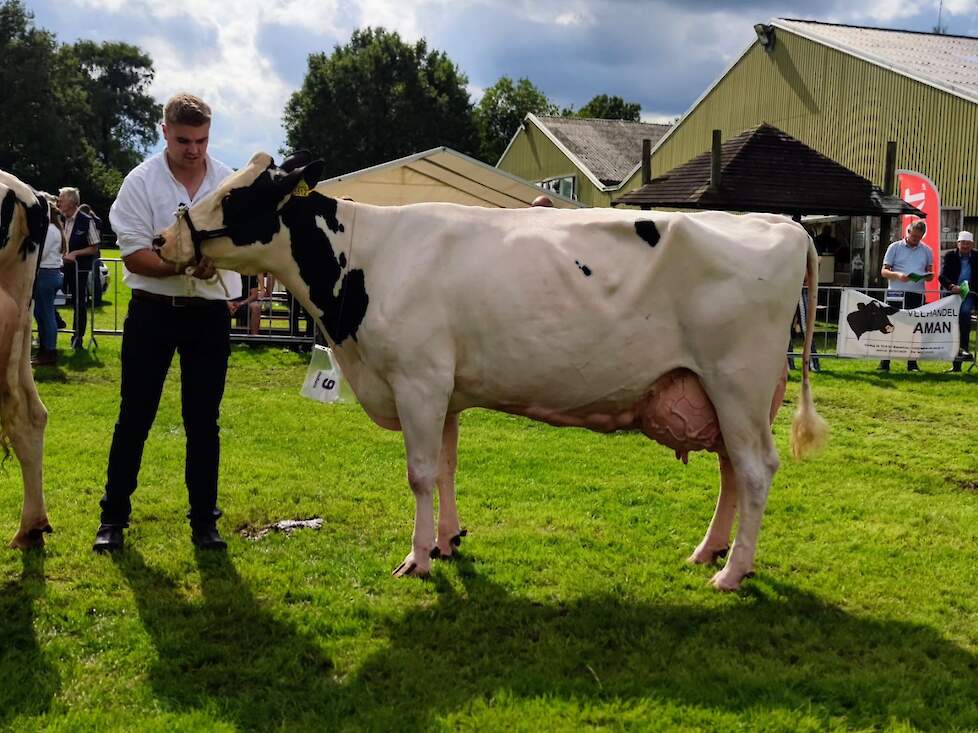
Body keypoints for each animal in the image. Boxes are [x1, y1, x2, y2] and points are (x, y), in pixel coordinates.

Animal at [152, 152, 824, 592]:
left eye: (235, 197)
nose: (162, 239)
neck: (365, 258)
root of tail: (776, 222)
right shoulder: (445, 390)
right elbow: (447, 469)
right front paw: (447, 542)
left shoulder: (418, 380)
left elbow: (420, 474)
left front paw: (418, 559)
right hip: (725, 395)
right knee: (733, 471)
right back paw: (709, 552)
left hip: (737, 383)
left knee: (757, 471)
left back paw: (732, 573)